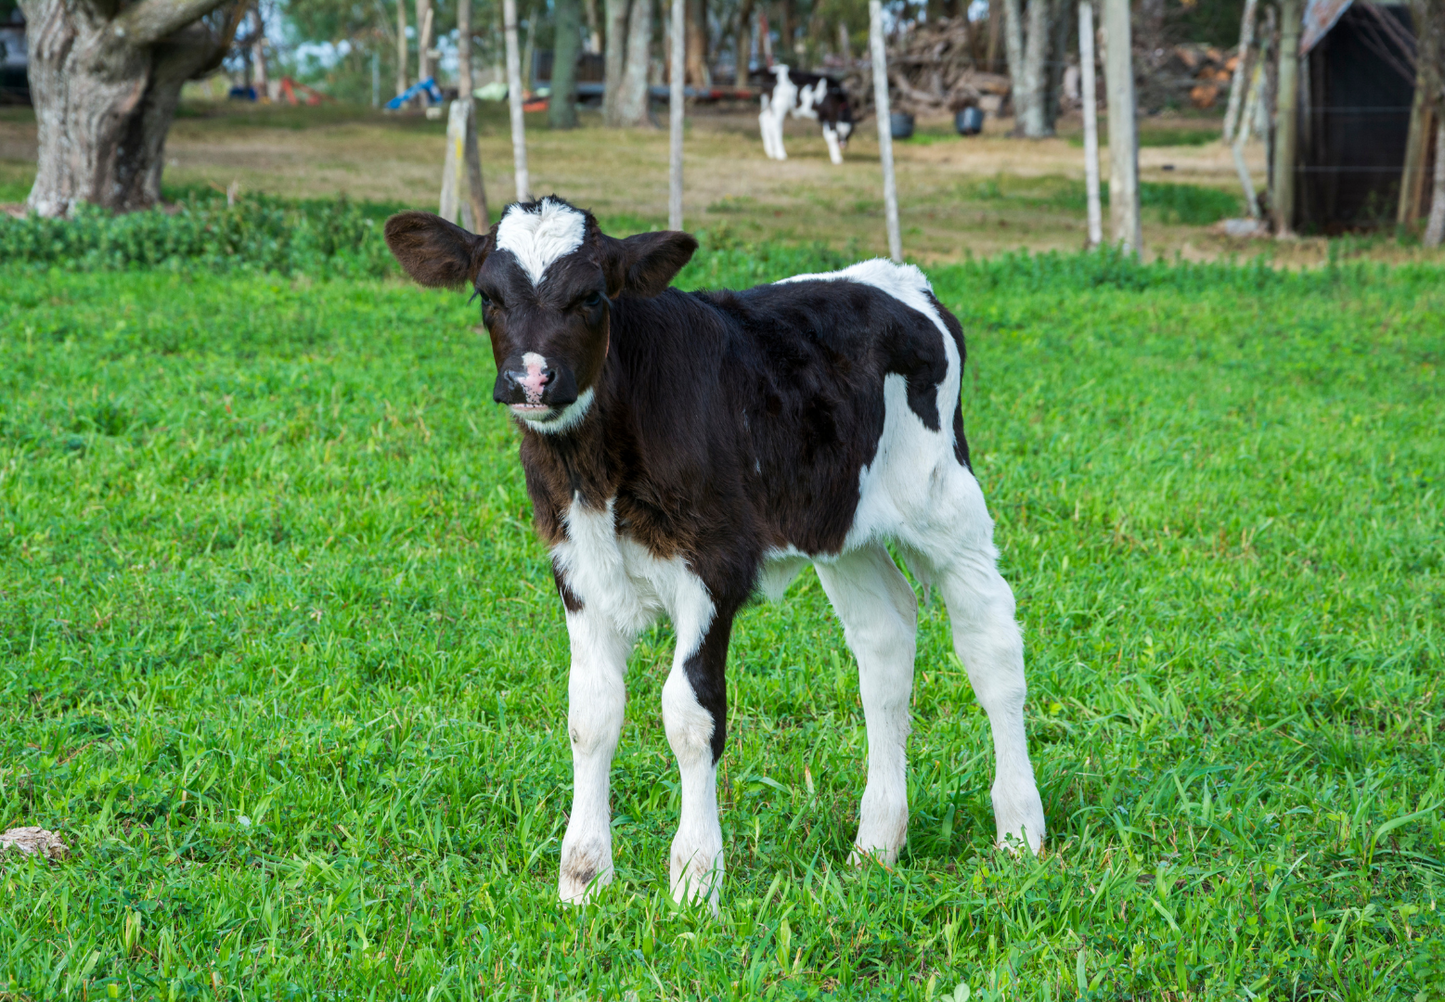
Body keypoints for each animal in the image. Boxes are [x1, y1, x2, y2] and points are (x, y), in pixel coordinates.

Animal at [383, 197, 1046, 910]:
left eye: (592, 296)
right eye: (488, 296)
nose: (531, 378)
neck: (597, 472)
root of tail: (901, 280)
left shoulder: (714, 565)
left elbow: (690, 715)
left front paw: (695, 880)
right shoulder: (577, 569)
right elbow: (589, 713)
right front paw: (582, 879)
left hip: (948, 503)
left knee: (991, 646)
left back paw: (1018, 833)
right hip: (841, 528)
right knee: (885, 641)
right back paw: (876, 845)